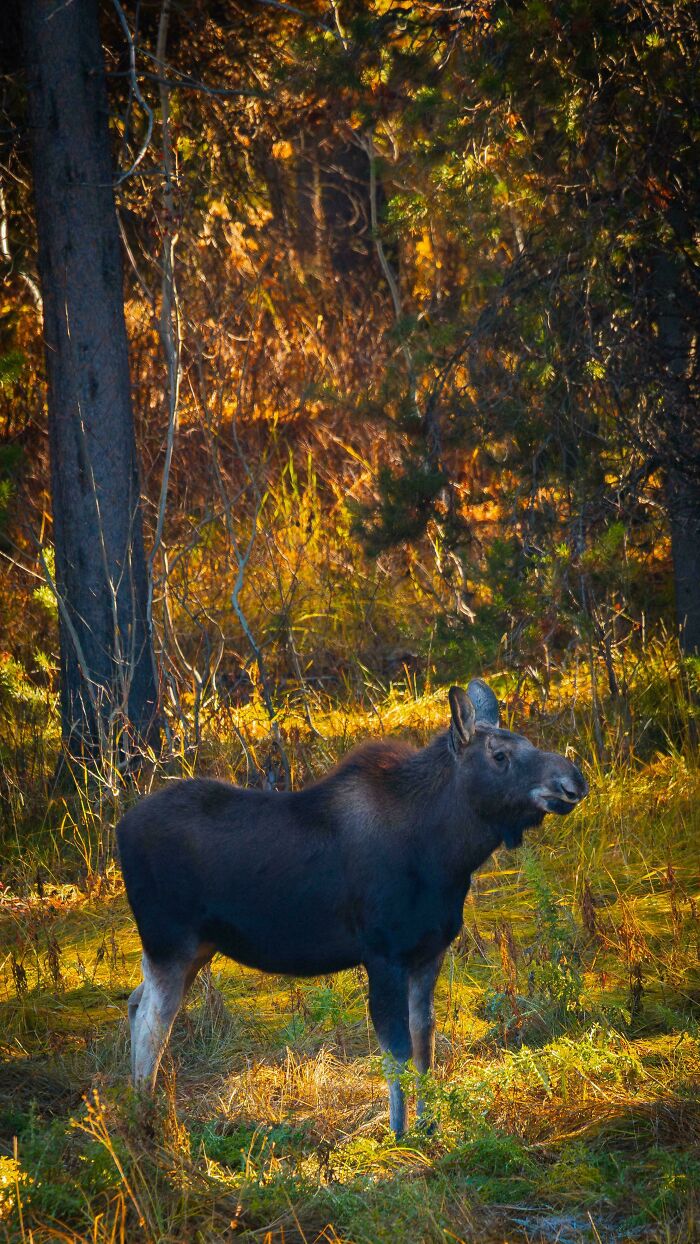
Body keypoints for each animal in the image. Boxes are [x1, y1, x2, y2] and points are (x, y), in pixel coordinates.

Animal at [117, 679, 588, 1134]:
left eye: (526, 742)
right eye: (500, 755)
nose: (574, 781)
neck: (445, 855)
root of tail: (120, 830)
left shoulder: (429, 952)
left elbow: (426, 1041)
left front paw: (431, 1124)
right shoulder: (382, 954)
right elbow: (396, 1050)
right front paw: (399, 1134)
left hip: (195, 948)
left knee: (137, 1003)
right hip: (169, 942)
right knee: (153, 1022)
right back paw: (145, 1118)